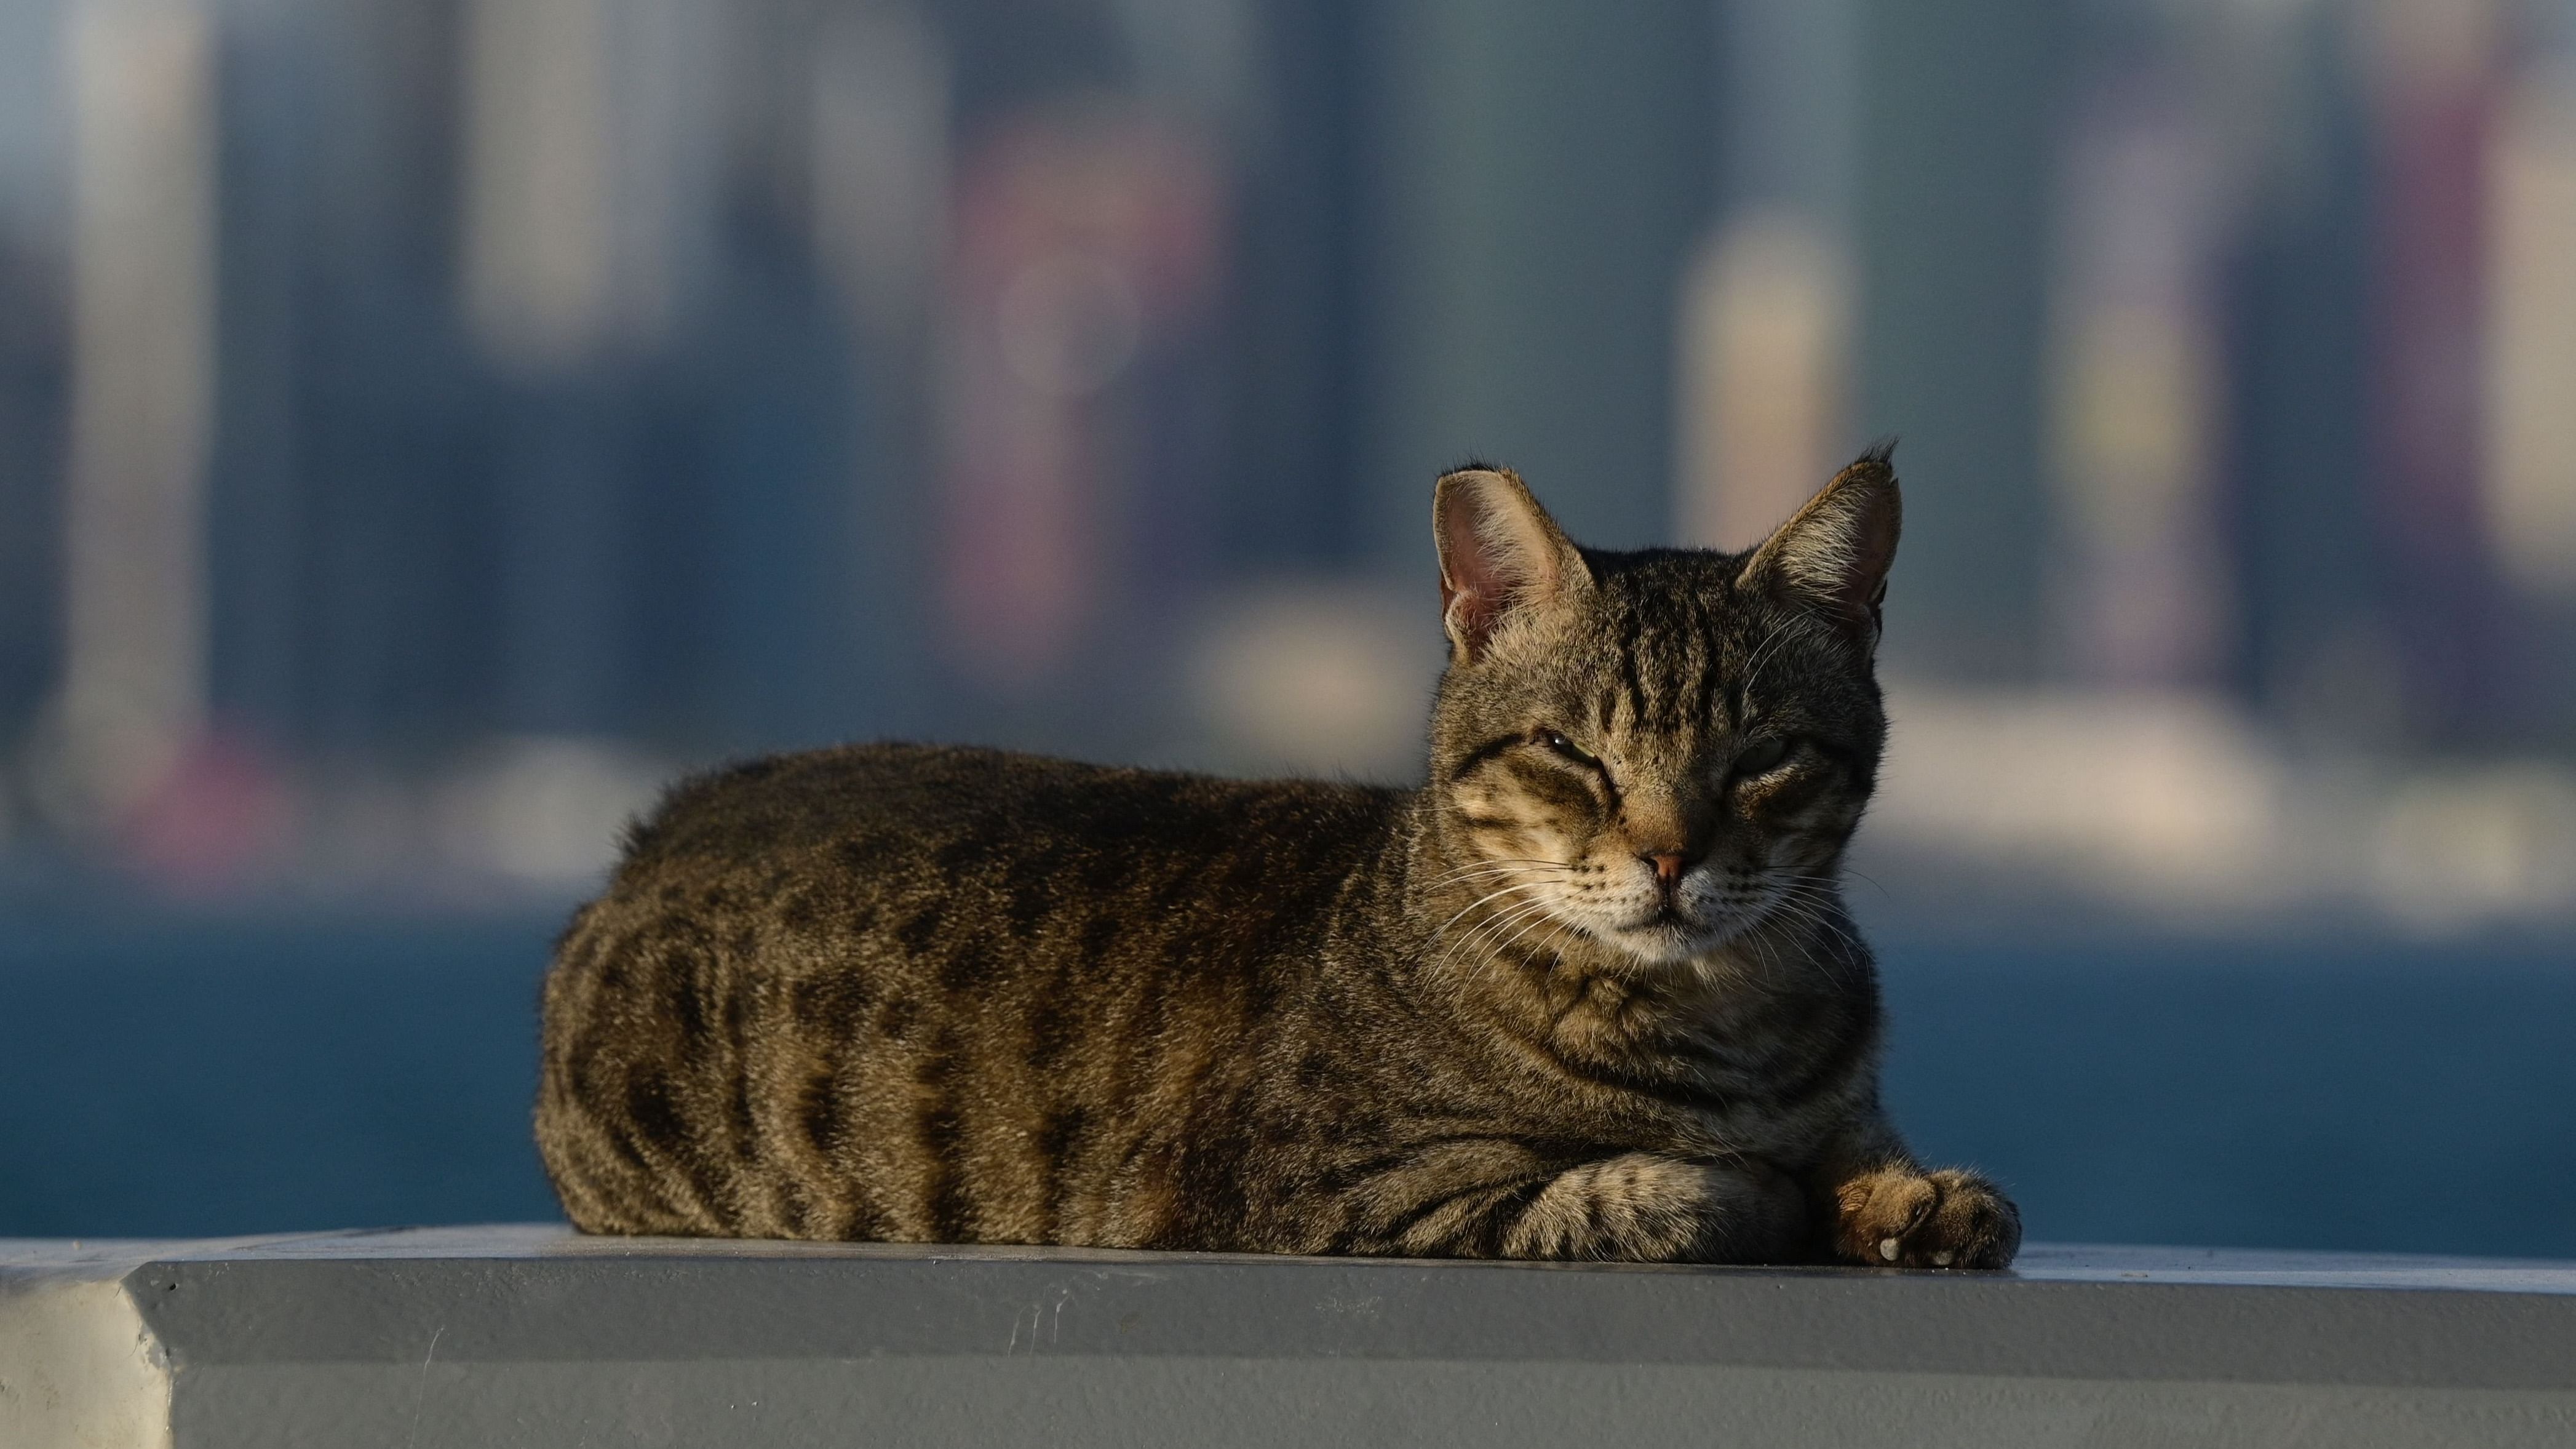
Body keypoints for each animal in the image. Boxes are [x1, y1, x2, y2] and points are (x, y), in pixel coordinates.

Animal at [533, 449, 2019, 1263]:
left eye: (1761, 757)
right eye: (1570, 754)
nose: (1666, 857)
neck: (1729, 1014)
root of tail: (666, 815)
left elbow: (1877, 1156)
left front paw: (1913, 1195)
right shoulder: (1322, 1190)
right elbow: (1655, 1192)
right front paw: (1762, 1190)